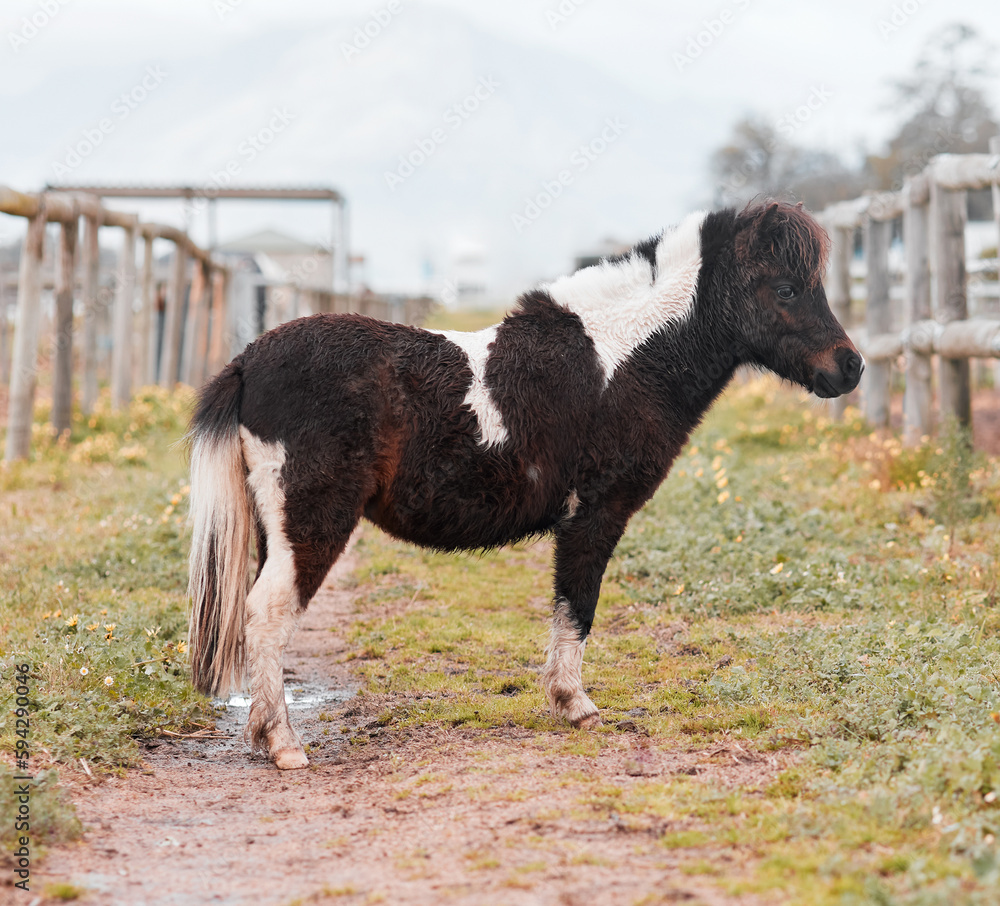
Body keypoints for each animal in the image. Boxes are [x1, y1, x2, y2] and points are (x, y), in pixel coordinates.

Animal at [186, 200, 863, 770]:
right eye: (786, 288)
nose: (850, 367)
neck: (619, 359)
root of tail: (249, 361)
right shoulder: (595, 514)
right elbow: (578, 605)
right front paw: (575, 705)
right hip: (313, 522)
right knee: (267, 613)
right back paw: (284, 744)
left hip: (277, 528)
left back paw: (263, 733)